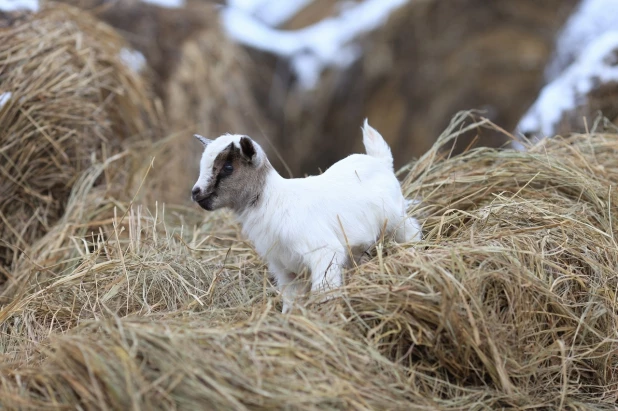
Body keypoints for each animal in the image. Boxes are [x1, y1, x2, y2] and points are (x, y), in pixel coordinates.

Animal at [191, 120, 418, 314]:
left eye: (228, 167)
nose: (195, 192)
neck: (273, 200)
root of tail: (380, 162)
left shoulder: (324, 252)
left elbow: (324, 291)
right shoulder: (284, 267)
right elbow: (290, 299)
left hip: (396, 219)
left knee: (412, 230)